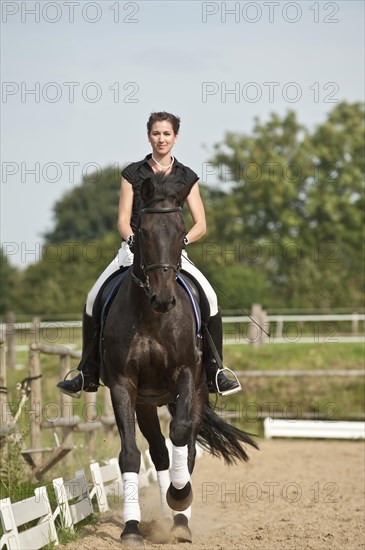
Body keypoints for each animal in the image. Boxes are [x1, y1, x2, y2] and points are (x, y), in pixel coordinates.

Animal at [101, 172, 258, 548]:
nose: (163, 298)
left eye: (181, 229)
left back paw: (180, 516)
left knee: (184, 446)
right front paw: (131, 528)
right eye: (142, 230)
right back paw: (165, 513)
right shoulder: (122, 385)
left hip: (198, 391)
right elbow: (130, 453)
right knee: (159, 451)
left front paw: (180, 498)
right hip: (146, 402)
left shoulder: (187, 374)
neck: (152, 316)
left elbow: (182, 436)